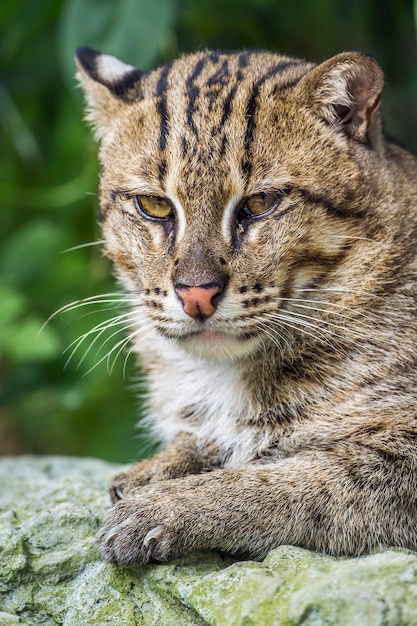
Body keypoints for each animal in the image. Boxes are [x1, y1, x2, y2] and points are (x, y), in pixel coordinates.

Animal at [75, 48, 416, 564]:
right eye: (154, 206)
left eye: (261, 203)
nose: (195, 293)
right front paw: (159, 466)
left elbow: (303, 480)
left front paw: (168, 506)